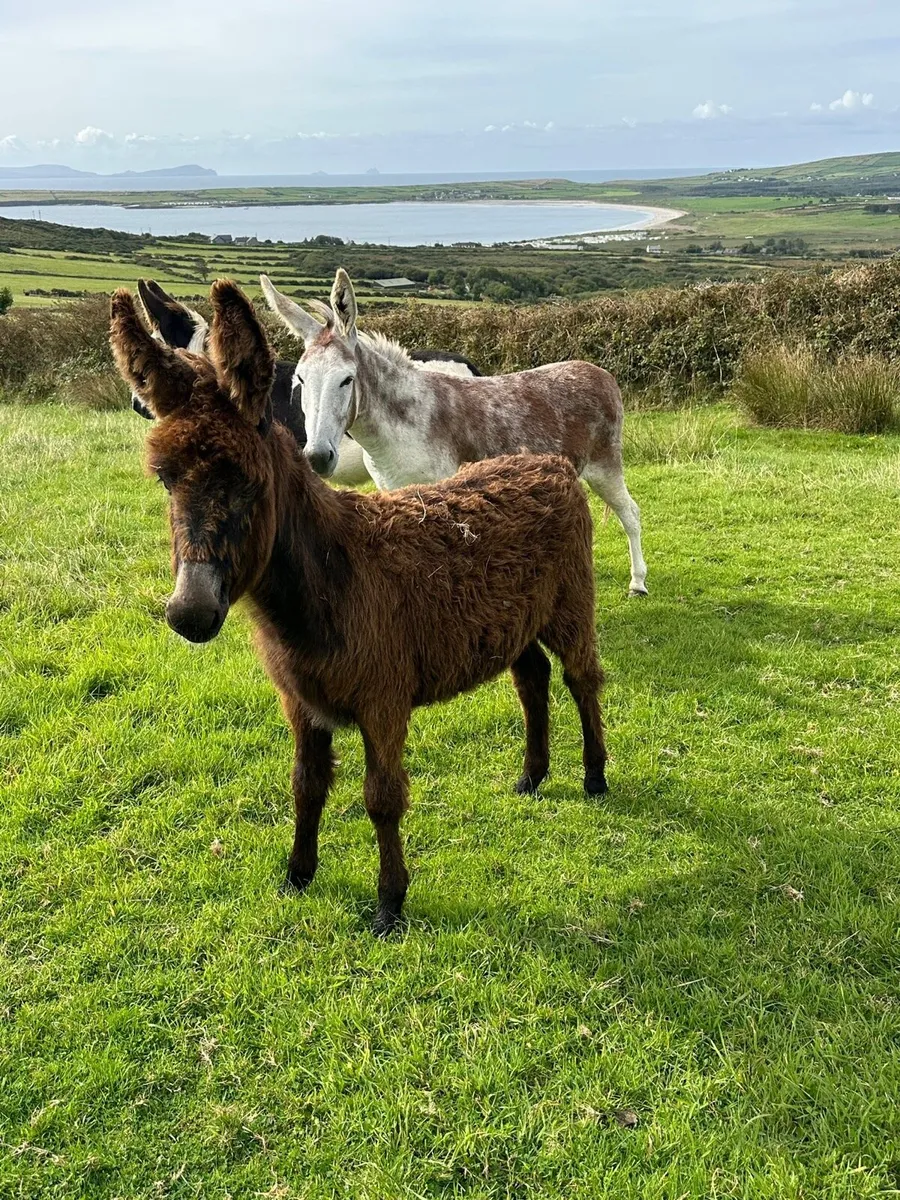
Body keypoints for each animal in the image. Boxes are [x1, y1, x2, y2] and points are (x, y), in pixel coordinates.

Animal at [110, 279, 608, 935]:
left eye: (250, 481)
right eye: (166, 479)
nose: (189, 613)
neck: (329, 580)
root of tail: (546, 463)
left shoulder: (383, 697)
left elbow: (382, 797)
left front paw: (390, 904)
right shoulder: (301, 703)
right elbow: (306, 785)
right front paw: (297, 875)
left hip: (570, 601)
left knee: (582, 678)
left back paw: (595, 777)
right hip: (513, 619)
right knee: (532, 678)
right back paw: (532, 775)